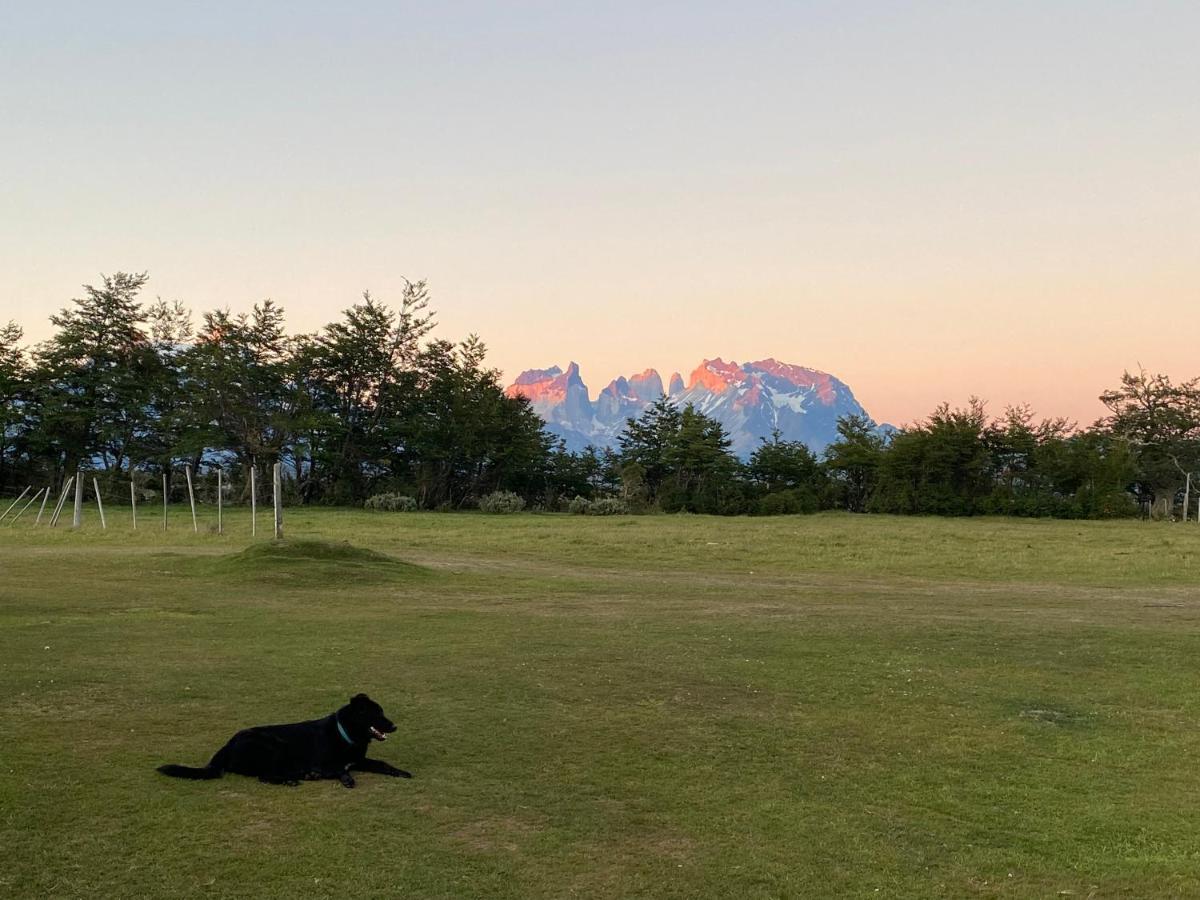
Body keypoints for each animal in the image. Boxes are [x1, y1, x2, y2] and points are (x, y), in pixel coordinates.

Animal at [157, 696, 410, 787]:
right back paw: (294, 779)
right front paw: (345, 779)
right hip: (273, 744)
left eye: (382, 712)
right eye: (376, 713)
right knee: (264, 776)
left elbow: (382, 764)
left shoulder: (359, 761)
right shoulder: (326, 762)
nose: (395, 726)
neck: (345, 733)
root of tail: (226, 746)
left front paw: (401, 772)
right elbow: (338, 768)